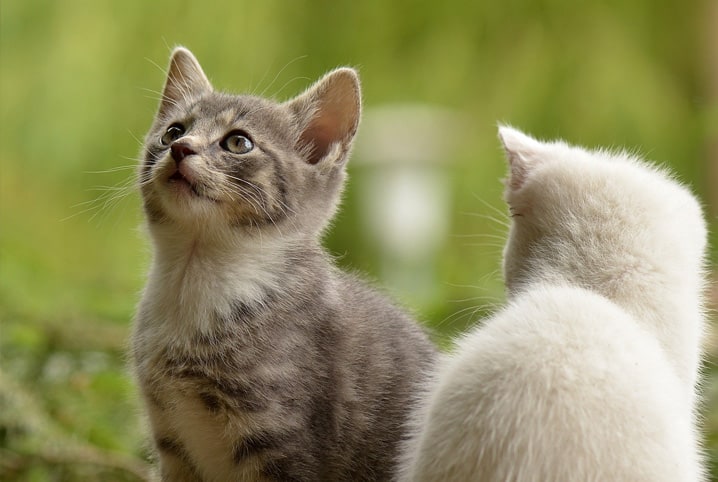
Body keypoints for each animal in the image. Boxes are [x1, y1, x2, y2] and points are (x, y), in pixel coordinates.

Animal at [133, 48, 438, 482]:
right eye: (173, 132)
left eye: (238, 142)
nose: (181, 148)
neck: (196, 279)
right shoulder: (172, 443)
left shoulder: (282, 441)